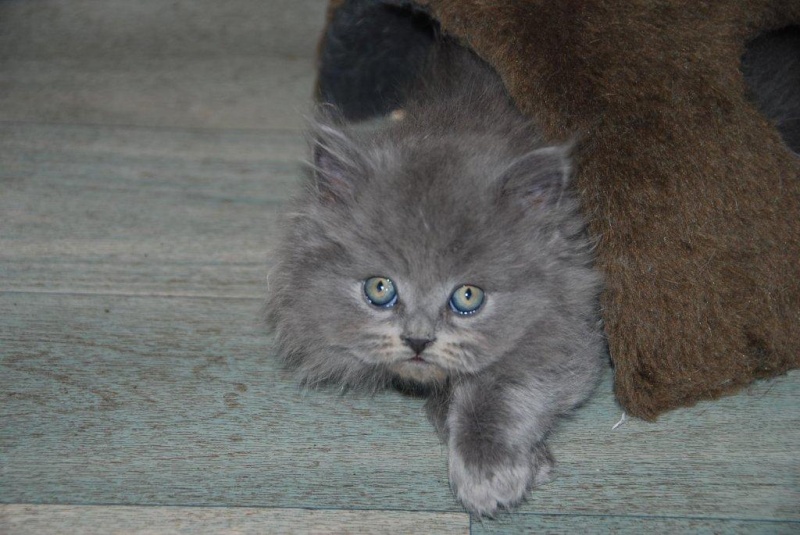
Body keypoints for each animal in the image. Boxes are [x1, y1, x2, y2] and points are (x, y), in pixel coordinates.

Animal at [266, 39, 604, 516]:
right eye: (380, 289)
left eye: (468, 297)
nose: (418, 340)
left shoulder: (570, 320)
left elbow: (507, 383)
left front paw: (490, 471)